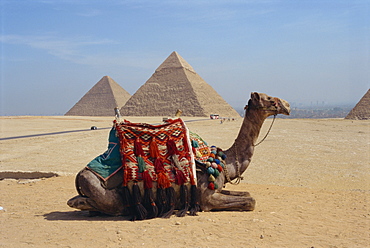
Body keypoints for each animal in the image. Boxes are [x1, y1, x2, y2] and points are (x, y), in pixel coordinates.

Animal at [68, 92, 290, 219]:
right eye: (270, 99)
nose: (287, 105)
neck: (225, 161)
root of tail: (80, 175)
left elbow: (247, 194)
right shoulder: (207, 199)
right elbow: (250, 202)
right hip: (106, 193)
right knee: (104, 205)